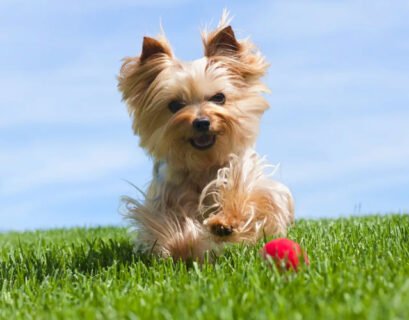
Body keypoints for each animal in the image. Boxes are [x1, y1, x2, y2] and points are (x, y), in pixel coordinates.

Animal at [116, 12, 292, 262]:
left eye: (219, 97)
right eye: (175, 105)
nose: (201, 122)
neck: (203, 162)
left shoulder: (246, 174)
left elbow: (248, 195)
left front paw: (224, 223)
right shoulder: (166, 197)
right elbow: (170, 226)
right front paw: (186, 244)